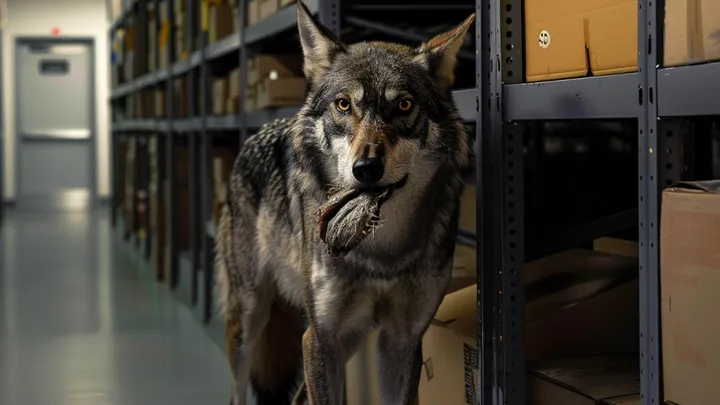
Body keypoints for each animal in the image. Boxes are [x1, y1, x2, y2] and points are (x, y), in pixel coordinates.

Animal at [215, 3, 475, 404]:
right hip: (250, 318)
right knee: (237, 391)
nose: (366, 168)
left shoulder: (402, 340)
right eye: (343, 104)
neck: (380, 251)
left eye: (404, 105)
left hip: (348, 338)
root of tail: (257, 134)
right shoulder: (321, 338)